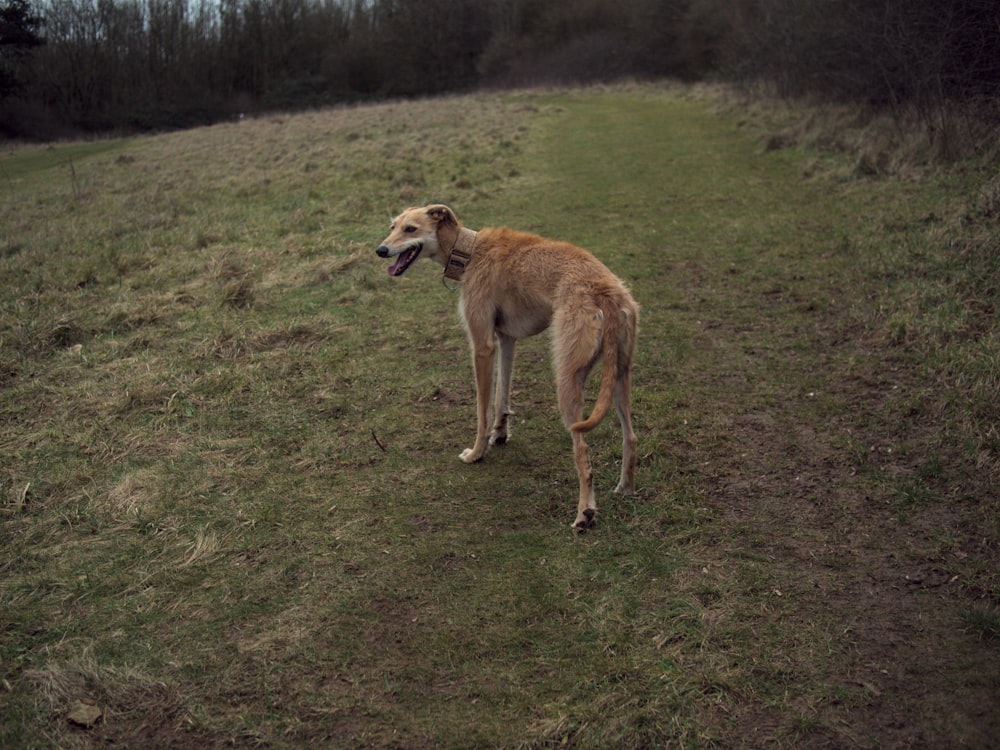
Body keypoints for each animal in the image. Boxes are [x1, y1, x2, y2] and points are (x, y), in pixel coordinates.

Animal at [376, 206, 640, 532]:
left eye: (411, 229)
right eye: (393, 227)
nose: (380, 250)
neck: (470, 250)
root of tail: (604, 291)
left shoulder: (482, 346)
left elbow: (482, 411)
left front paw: (476, 453)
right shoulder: (506, 339)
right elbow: (501, 398)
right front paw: (500, 434)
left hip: (568, 380)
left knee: (583, 452)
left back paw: (584, 513)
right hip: (619, 375)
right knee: (631, 437)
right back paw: (625, 488)